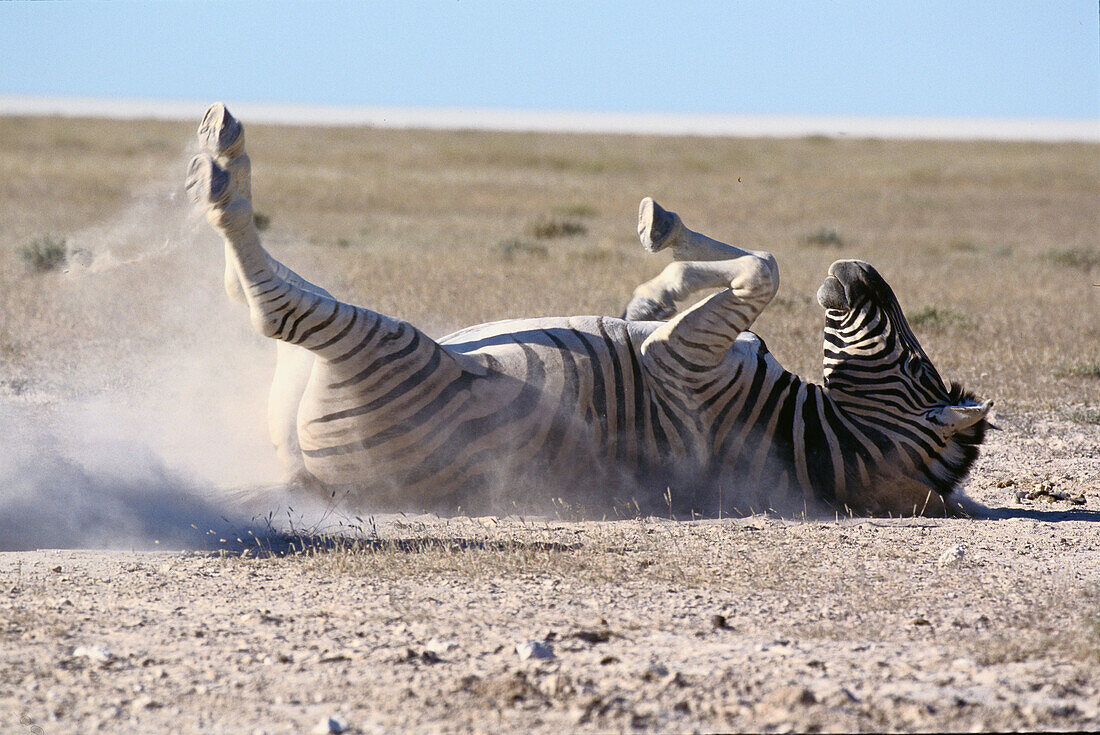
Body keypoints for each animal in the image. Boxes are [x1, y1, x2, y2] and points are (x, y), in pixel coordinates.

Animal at [184, 101, 994, 517]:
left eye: (914, 366)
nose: (856, 268)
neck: (803, 430)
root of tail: (313, 486)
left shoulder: (678, 362)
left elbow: (765, 268)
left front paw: (662, 242)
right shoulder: (700, 350)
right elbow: (743, 270)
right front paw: (656, 277)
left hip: (385, 350)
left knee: (270, 307)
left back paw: (221, 170)